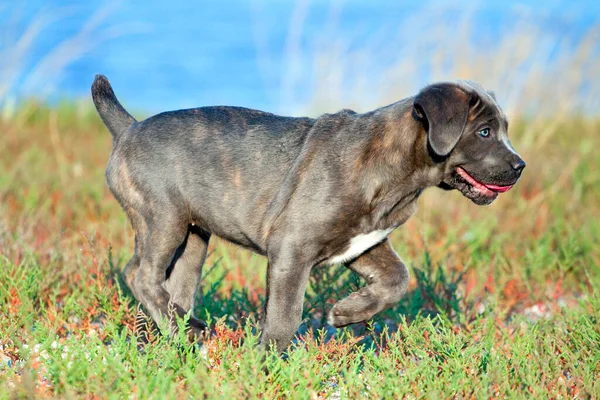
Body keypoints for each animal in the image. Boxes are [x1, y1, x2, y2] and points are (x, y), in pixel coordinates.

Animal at [91, 76, 524, 354]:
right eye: (484, 133)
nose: (520, 166)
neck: (399, 169)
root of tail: (128, 129)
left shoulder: (364, 243)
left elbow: (398, 278)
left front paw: (347, 312)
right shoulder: (292, 249)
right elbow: (285, 315)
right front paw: (268, 362)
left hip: (193, 239)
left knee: (169, 289)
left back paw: (170, 341)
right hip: (164, 217)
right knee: (140, 274)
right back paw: (186, 331)